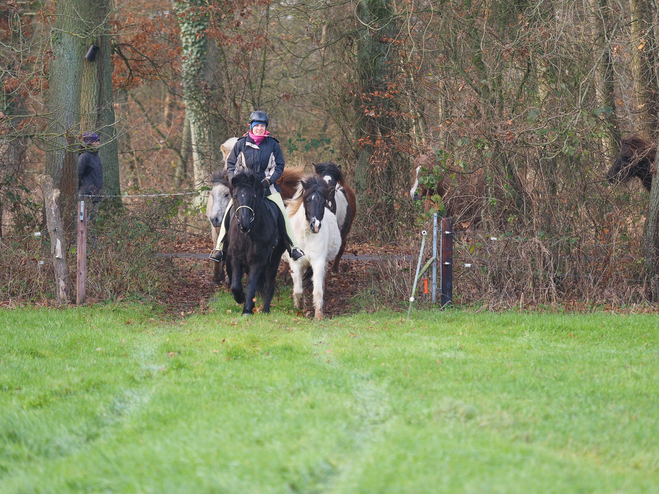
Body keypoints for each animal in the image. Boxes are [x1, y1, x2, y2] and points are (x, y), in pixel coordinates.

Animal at [226, 164, 288, 314]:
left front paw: (247, 309)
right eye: (235, 196)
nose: (244, 224)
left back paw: (265, 310)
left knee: (269, 284)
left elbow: (251, 285)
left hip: (274, 260)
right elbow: (236, 285)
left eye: (252, 196)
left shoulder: (258, 260)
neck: (248, 234)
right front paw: (241, 299)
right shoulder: (236, 258)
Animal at [286, 175, 342, 320]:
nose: (315, 226)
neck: (306, 236)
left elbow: (317, 290)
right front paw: (300, 305)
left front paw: (318, 315)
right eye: (307, 201)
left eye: (323, 202)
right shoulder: (296, 262)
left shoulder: (318, 261)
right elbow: (298, 290)